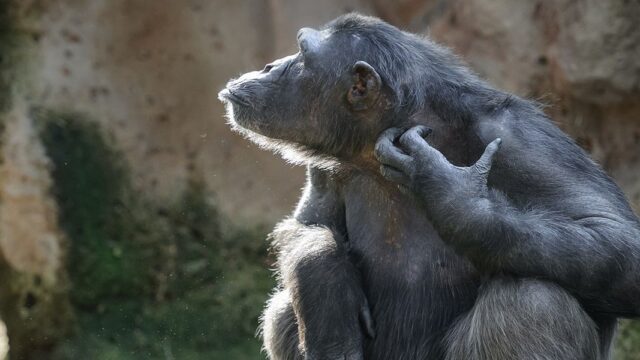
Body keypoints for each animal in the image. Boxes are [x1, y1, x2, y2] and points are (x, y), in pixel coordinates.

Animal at [219, 12, 640, 360]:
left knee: (533, 302)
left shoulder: (521, 139)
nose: (270, 65)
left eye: (302, 55)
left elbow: (614, 233)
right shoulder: (326, 167)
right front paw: (325, 283)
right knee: (282, 310)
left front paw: (452, 195)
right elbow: (309, 224)